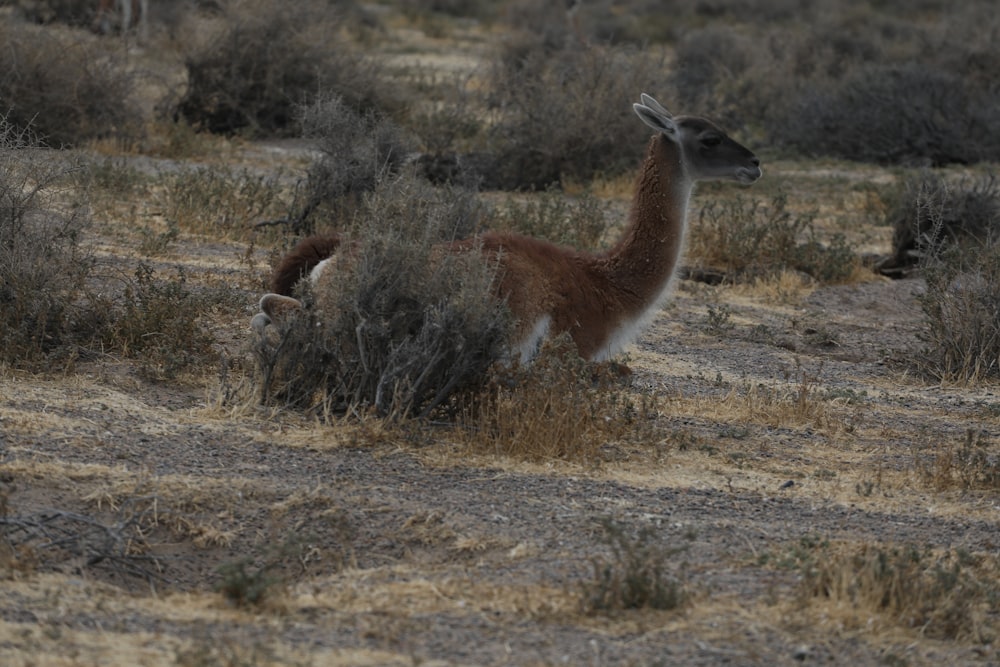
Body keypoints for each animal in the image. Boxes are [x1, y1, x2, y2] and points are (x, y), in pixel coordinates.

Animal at [254, 92, 760, 366]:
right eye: (710, 138)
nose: (755, 163)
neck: (609, 284)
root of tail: (334, 261)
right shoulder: (575, 345)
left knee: (271, 305)